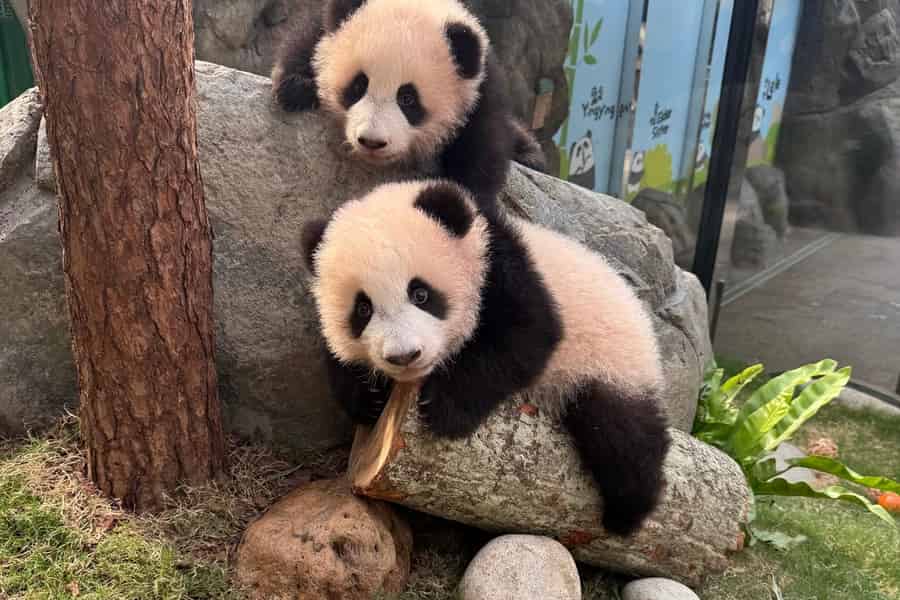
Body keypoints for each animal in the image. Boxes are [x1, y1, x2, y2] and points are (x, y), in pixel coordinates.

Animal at [271, 0, 546, 211]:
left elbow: (482, 150)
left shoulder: (479, 92)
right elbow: (307, 40)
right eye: (359, 86)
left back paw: (530, 154)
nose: (372, 141)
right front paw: (295, 88)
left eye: (407, 99)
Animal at [301, 179, 672, 536]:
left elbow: (526, 335)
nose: (404, 355)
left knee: (621, 432)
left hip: (610, 361)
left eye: (420, 294)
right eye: (362, 309)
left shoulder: (501, 267)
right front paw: (368, 398)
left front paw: (445, 408)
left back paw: (628, 511)